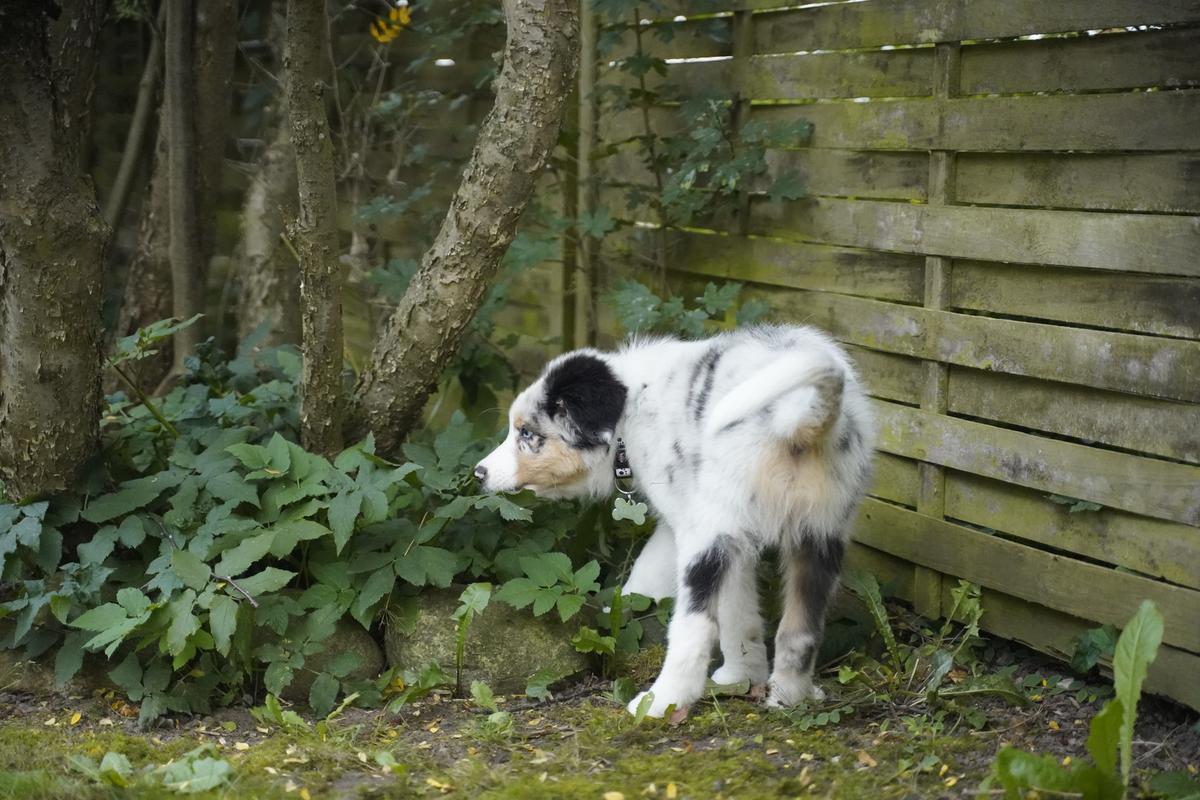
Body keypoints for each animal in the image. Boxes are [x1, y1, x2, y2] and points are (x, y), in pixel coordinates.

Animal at [472, 326, 878, 719]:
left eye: (527, 434)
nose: (479, 473)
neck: (631, 412)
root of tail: (798, 414)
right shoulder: (723, 534)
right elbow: (731, 607)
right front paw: (743, 677)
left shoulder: (697, 526)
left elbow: (686, 591)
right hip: (821, 531)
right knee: (801, 629)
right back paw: (790, 697)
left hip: (711, 536)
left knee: (693, 628)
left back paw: (660, 702)